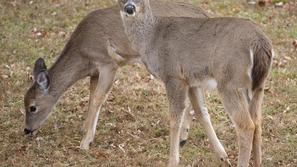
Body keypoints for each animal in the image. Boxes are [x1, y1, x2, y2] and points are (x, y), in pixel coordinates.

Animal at [22, 0, 224, 157]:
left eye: (32, 107)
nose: (27, 130)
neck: (82, 54)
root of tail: (205, 14)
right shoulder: (95, 72)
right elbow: (91, 95)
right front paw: (85, 128)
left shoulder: (108, 63)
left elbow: (98, 97)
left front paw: (86, 141)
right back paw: (184, 138)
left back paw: (184, 138)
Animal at [117, 0, 272, 167]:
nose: (129, 8)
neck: (151, 38)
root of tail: (261, 44)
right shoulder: (191, 81)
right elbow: (201, 112)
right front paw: (221, 154)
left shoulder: (173, 76)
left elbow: (175, 119)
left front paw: (173, 160)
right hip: (257, 86)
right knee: (257, 122)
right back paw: (257, 162)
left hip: (229, 82)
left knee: (246, 125)